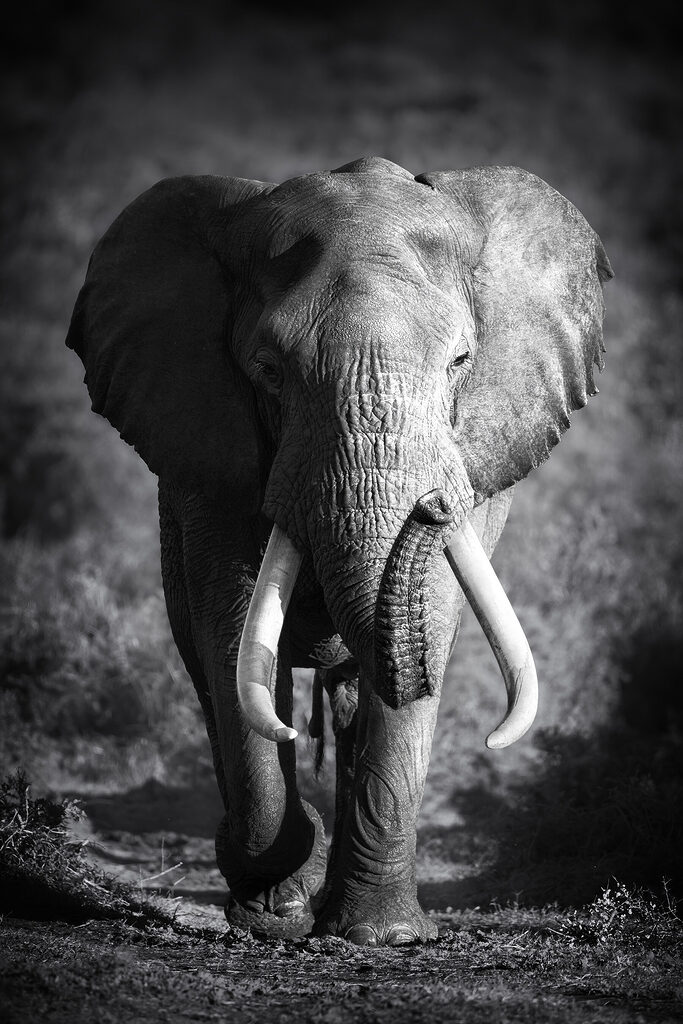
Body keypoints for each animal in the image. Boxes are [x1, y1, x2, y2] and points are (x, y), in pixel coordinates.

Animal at [66, 156, 612, 946]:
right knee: (209, 670)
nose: (432, 505)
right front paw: (273, 908)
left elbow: (430, 620)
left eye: (461, 361)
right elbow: (230, 631)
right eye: (268, 370)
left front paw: (382, 937)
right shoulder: (209, 458)